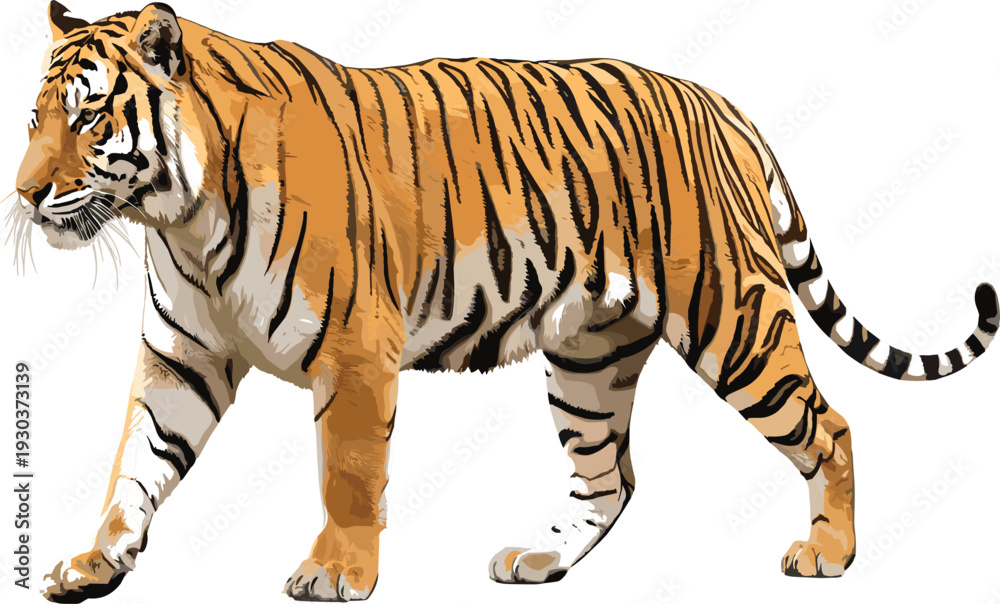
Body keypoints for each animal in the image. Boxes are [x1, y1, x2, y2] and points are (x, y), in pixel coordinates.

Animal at [13, 1, 997, 602]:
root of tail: (716, 100)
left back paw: (828, 555)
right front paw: (94, 562)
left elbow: (348, 475)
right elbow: (134, 465)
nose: (22, 195)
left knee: (829, 426)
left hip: (733, 316)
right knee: (611, 477)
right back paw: (541, 558)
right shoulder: (184, 355)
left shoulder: (355, 350)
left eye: (90, 117)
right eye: (33, 120)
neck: (177, 214)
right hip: (591, 354)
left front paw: (336, 573)